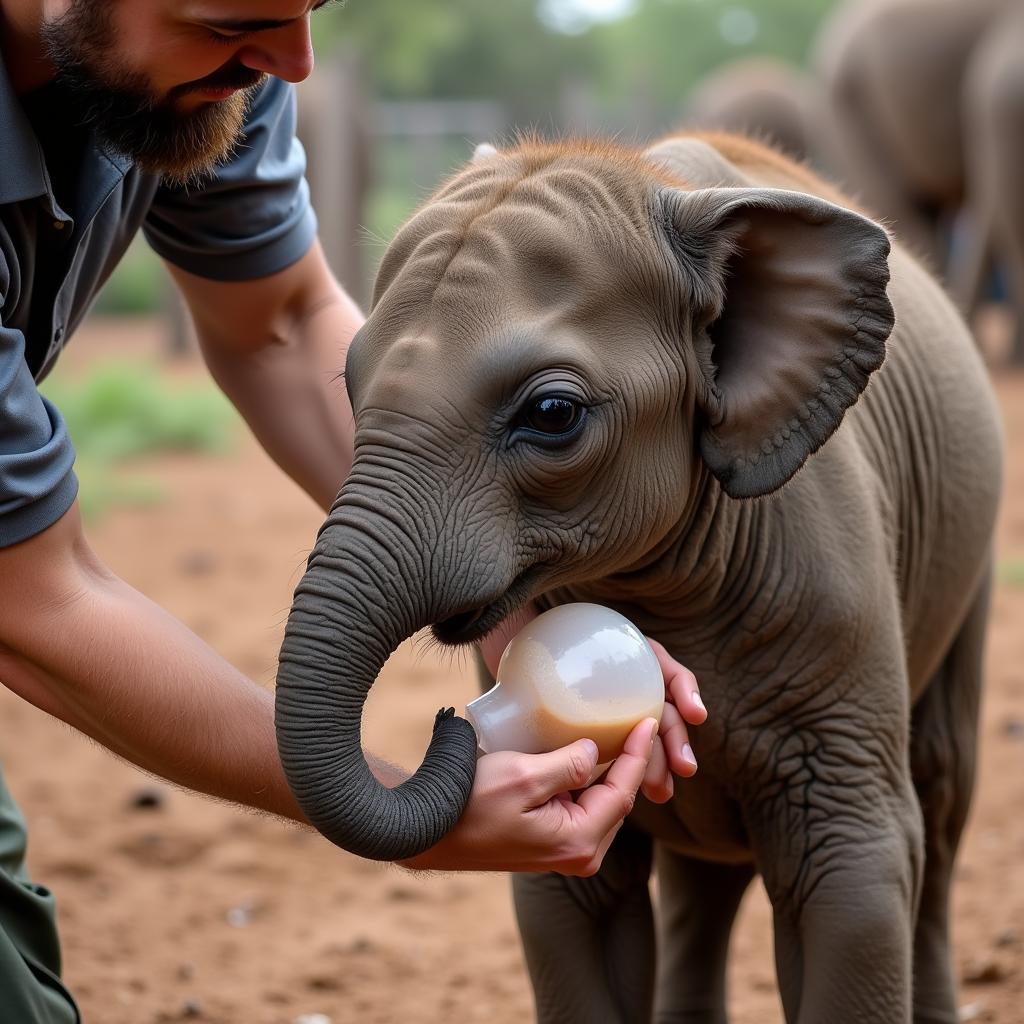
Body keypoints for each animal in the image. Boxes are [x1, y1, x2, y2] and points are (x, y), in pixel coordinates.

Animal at [276, 132, 1003, 1019]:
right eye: (349, 387)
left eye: (552, 415)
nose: (455, 724)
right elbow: (569, 903)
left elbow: (854, 874)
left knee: (941, 797)